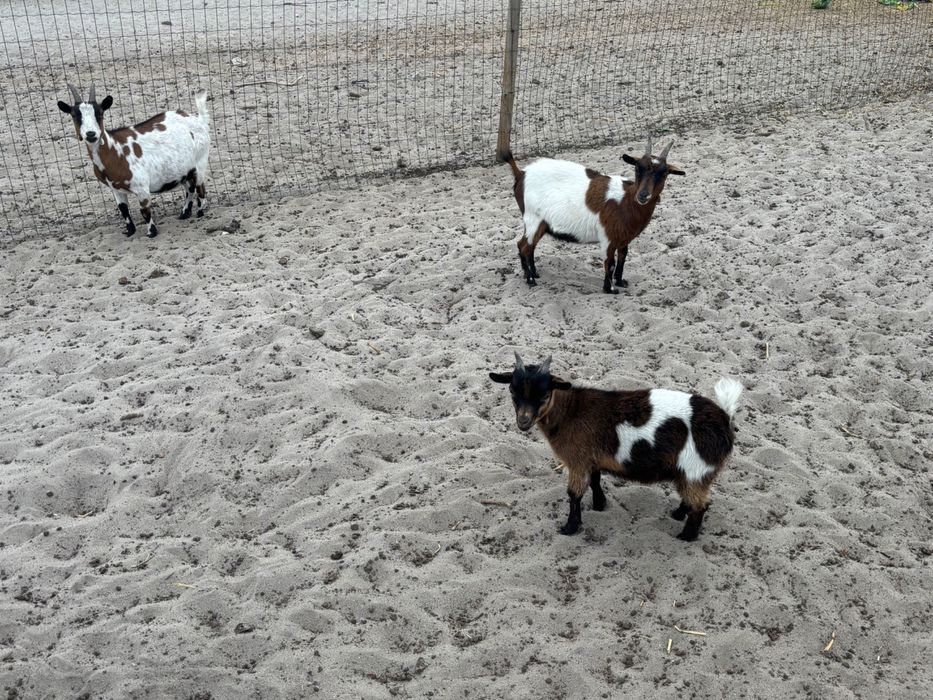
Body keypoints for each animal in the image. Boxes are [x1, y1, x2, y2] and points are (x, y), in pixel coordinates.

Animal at [58, 84, 211, 238]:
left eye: (100, 113)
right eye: (74, 115)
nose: (91, 134)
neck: (115, 152)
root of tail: (198, 119)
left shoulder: (142, 187)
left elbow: (145, 211)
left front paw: (151, 232)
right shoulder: (115, 189)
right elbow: (123, 209)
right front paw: (130, 231)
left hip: (200, 162)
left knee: (200, 189)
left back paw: (200, 213)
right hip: (183, 171)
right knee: (190, 188)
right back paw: (184, 214)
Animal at [490, 354, 742, 541]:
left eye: (544, 394)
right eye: (512, 391)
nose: (523, 422)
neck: (570, 412)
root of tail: (724, 418)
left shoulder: (577, 460)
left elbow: (574, 494)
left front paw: (570, 528)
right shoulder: (591, 458)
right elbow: (595, 480)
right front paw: (600, 505)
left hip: (696, 469)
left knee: (700, 505)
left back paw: (685, 537)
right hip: (689, 471)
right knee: (690, 497)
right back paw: (677, 514)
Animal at [501, 139, 685, 293]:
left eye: (664, 173)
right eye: (637, 168)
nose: (643, 195)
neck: (626, 201)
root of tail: (521, 174)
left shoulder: (623, 238)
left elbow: (623, 257)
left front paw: (620, 282)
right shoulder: (608, 237)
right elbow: (609, 262)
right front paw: (610, 289)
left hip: (540, 223)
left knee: (530, 246)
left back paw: (534, 274)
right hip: (533, 219)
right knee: (523, 246)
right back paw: (531, 280)